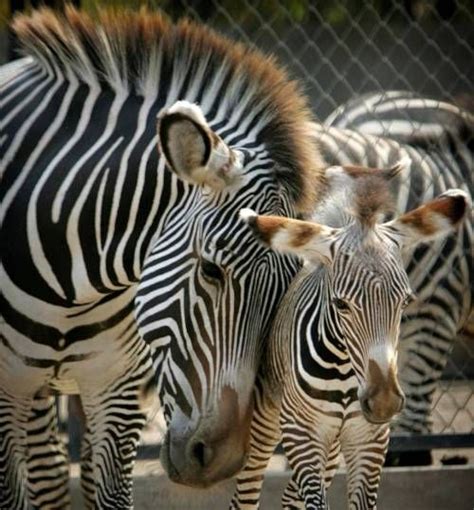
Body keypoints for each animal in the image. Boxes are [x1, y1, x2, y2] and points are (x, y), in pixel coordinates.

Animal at [231, 164, 470, 510]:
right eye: (341, 304)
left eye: (405, 301)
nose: (384, 402)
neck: (344, 373)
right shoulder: (301, 431)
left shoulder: (368, 438)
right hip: (268, 421)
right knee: (247, 492)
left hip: (331, 445)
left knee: (291, 497)